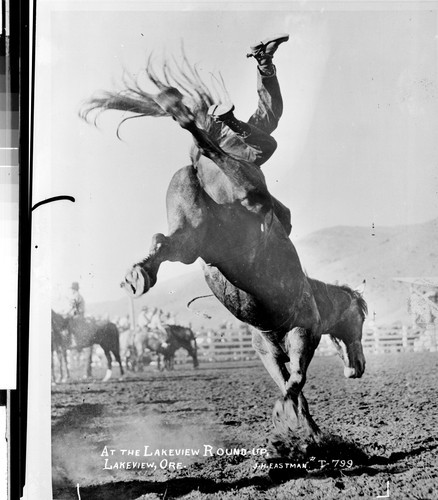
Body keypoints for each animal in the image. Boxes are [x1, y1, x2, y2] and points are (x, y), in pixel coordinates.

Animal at [82, 53, 366, 446]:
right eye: (362, 319)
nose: (359, 368)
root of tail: (199, 166)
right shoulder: (301, 332)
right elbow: (296, 380)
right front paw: (291, 423)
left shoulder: (266, 346)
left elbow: (293, 387)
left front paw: (303, 430)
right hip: (246, 192)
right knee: (236, 168)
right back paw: (191, 117)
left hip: (192, 231)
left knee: (163, 240)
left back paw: (139, 274)